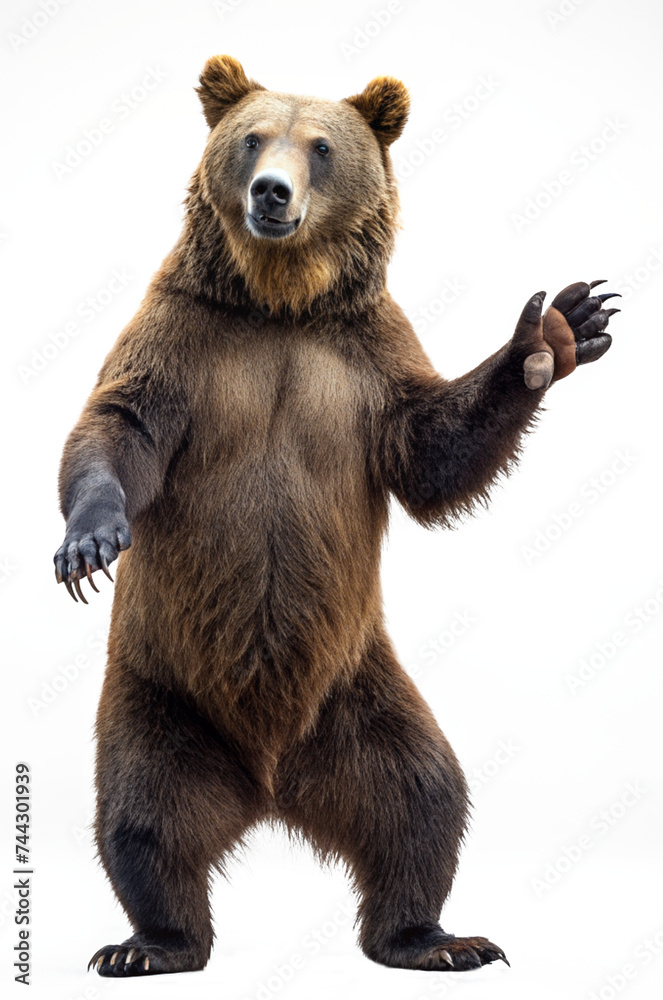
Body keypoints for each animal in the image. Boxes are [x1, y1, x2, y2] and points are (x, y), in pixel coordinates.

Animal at [53, 55, 618, 977]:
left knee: (420, 795)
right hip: (160, 687)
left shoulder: (365, 360)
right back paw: (152, 944)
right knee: (144, 810)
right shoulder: (186, 336)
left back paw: (435, 938)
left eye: (319, 146)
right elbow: (119, 424)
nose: (271, 192)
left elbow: (430, 450)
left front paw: (559, 328)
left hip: (359, 691)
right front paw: (89, 541)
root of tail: (269, 785)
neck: (281, 305)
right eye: (252, 138)